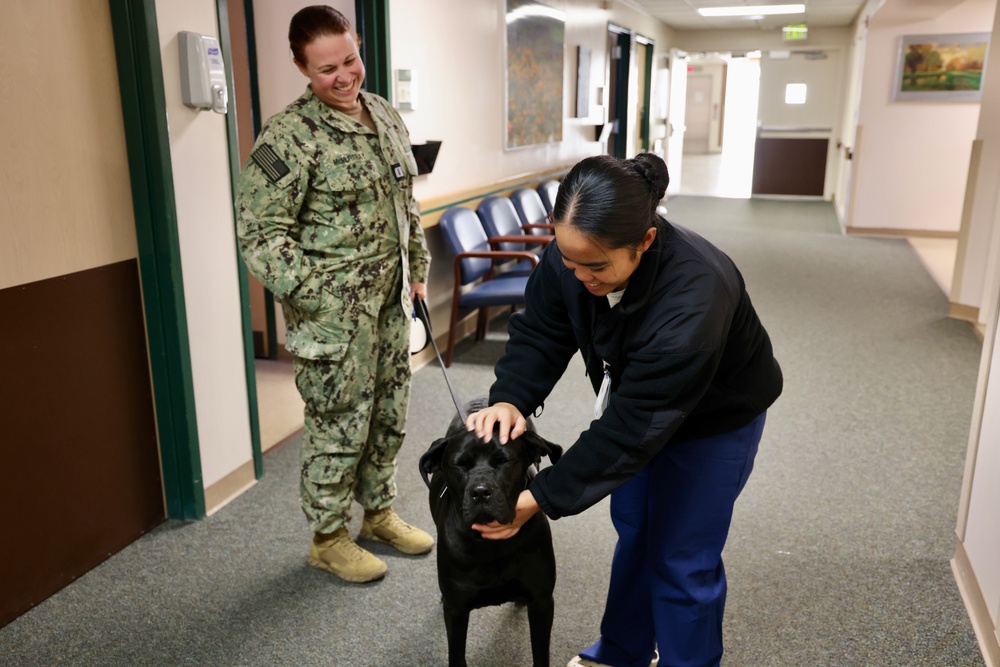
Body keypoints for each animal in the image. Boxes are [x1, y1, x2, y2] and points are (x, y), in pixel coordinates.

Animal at [420, 402, 564, 667]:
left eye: (503, 461)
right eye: (461, 464)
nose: (480, 492)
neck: (491, 548)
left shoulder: (541, 601)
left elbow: (540, 653)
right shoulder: (456, 610)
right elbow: (456, 655)